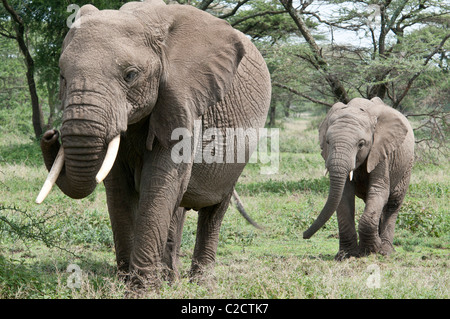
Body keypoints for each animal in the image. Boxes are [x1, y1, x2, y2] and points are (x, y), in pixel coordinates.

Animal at [36, 0, 270, 290]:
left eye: (130, 75)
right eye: (62, 76)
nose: (50, 135)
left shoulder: (182, 100)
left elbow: (160, 182)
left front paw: (141, 288)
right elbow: (119, 188)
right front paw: (126, 283)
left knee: (214, 210)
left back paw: (201, 282)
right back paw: (171, 279)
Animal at [304, 97, 414, 260]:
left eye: (361, 144)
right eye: (328, 142)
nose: (304, 235)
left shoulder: (381, 151)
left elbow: (379, 190)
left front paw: (371, 250)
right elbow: (344, 196)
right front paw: (346, 255)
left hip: (407, 165)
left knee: (393, 203)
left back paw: (385, 251)